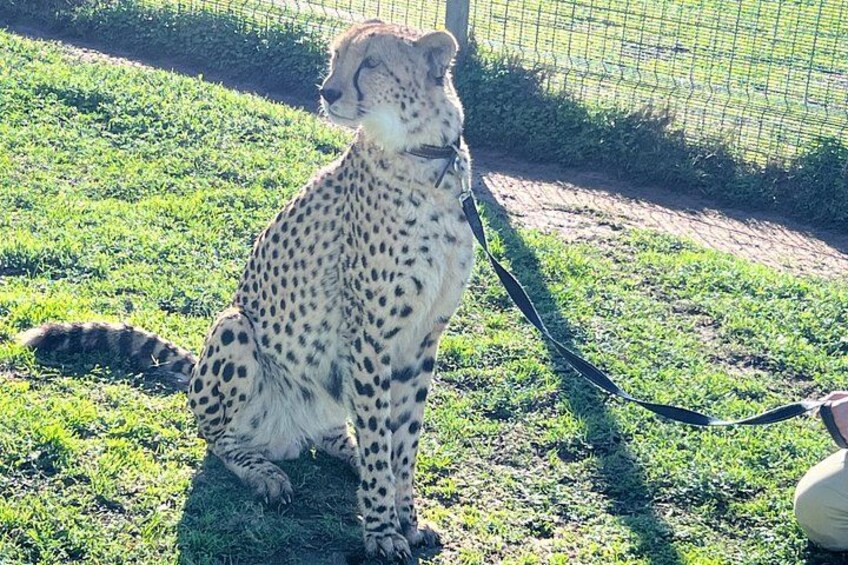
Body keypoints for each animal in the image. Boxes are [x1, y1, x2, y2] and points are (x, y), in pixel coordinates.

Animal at [18, 20, 474, 562]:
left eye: (371, 63)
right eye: (336, 58)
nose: (328, 91)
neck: (425, 161)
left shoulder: (421, 339)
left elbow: (403, 440)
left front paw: (407, 518)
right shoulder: (372, 338)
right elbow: (384, 443)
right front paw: (384, 531)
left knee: (337, 434)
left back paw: (346, 452)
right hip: (234, 328)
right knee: (220, 437)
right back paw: (265, 473)